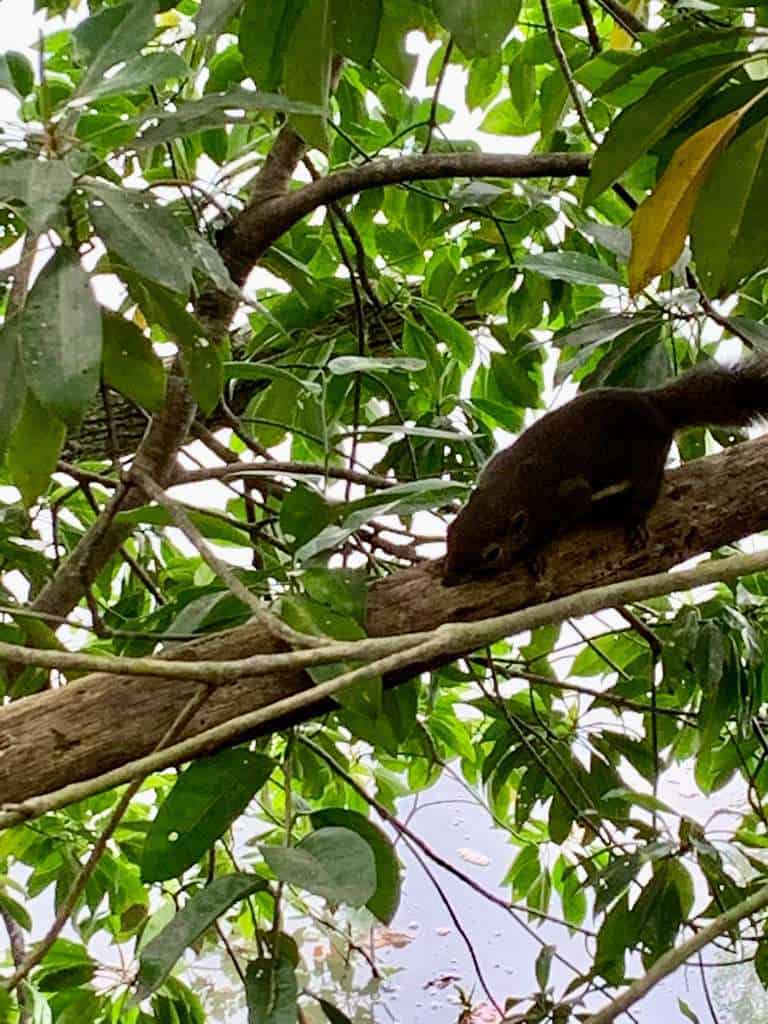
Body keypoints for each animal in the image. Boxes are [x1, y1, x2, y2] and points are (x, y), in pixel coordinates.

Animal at [442, 360, 768, 589]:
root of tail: (656, 404)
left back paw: (636, 522)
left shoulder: (566, 495)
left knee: (647, 488)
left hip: (647, 457)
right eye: (450, 531)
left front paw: (534, 551)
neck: (510, 486)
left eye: (492, 554)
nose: (447, 579)